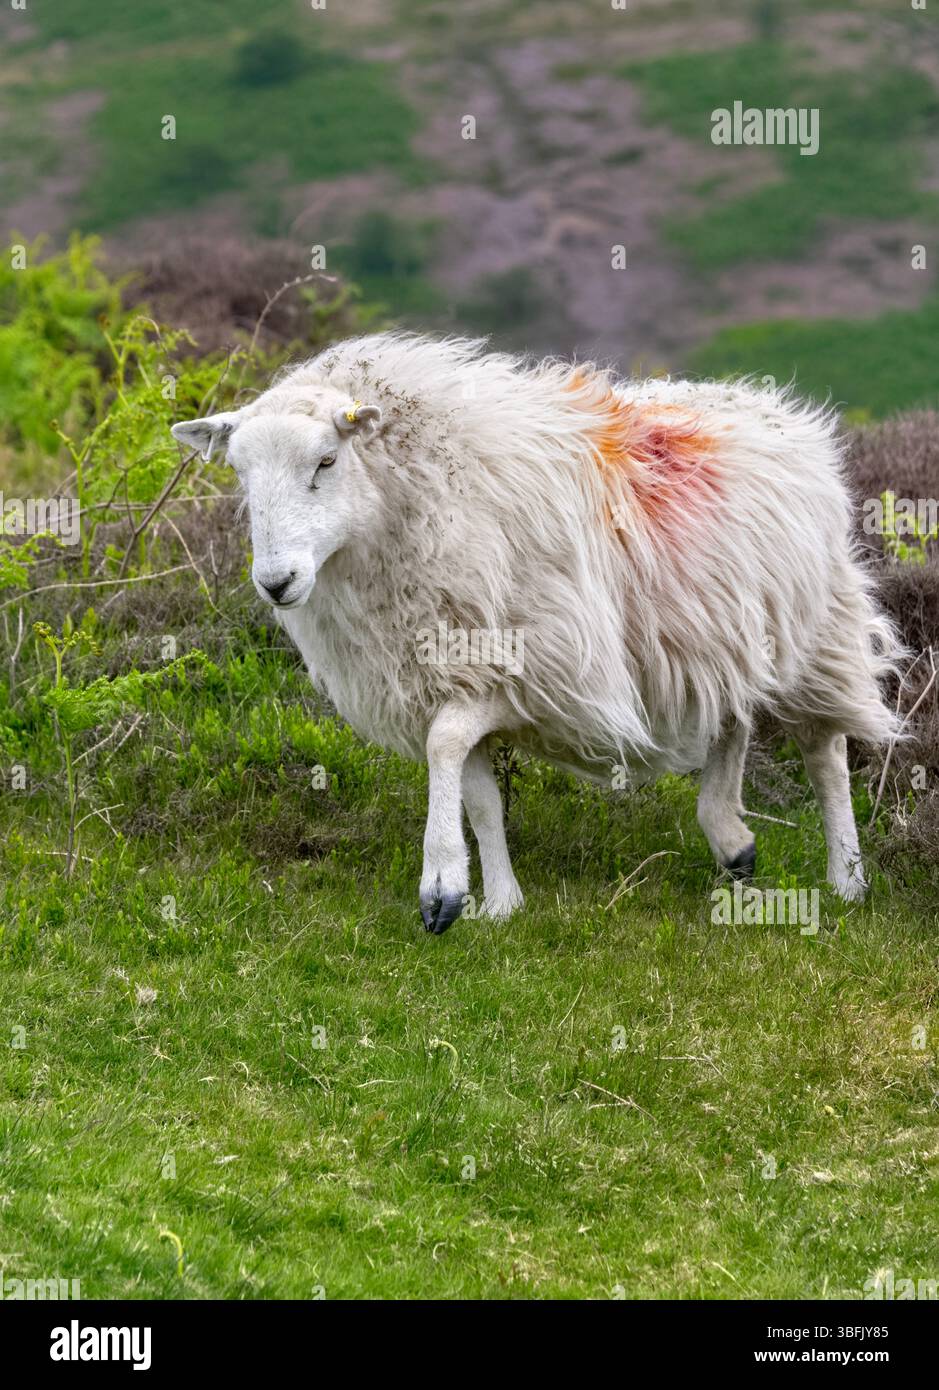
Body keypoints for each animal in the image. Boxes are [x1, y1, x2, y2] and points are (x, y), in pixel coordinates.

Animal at [172, 332, 902, 933]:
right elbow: (477, 791)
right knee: (733, 715)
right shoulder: (450, 680)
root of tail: (770, 405)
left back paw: (845, 879)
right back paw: (729, 835)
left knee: (824, 753)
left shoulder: (537, 668)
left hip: (815, 630)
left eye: (325, 461)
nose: (275, 581)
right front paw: (498, 902)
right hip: (717, 632)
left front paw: (441, 884)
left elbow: (445, 749)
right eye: (239, 473)